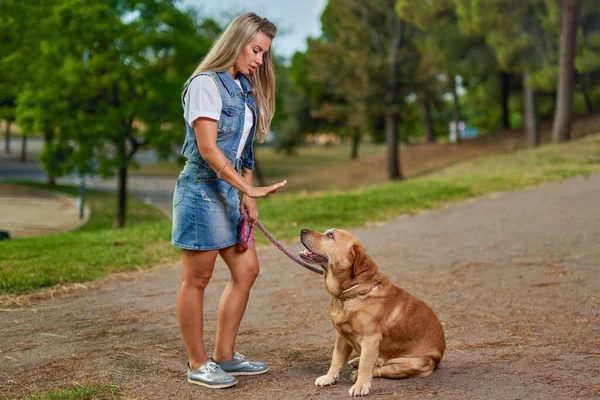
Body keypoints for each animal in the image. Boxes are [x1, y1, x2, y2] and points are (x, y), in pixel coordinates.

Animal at [300, 228, 446, 396]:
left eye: (330, 235)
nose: (302, 230)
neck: (352, 293)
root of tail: (439, 355)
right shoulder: (341, 337)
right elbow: (336, 359)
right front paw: (329, 377)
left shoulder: (370, 339)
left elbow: (365, 367)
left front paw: (360, 386)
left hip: (413, 363)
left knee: (380, 368)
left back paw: (358, 373)